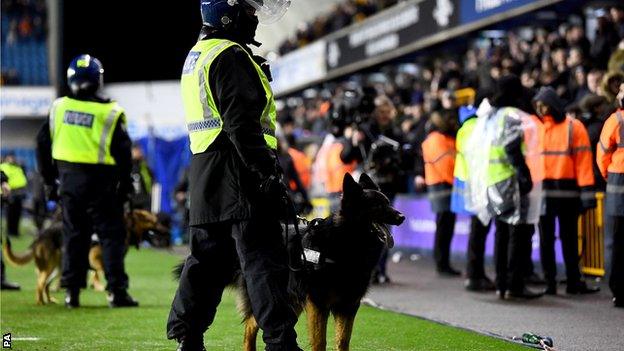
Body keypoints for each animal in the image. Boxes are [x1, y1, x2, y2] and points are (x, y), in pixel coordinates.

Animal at [2, 209, 168, 306]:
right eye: (155, 222)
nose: (167, 231)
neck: (128, 227)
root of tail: (40, 235)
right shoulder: (95, 257)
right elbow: (102, 270)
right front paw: (104, 288)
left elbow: (99, 272)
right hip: (50, 266)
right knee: (40, 284)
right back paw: (41, 302)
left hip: (59, 268)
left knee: (46, 285)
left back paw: (49, 300)